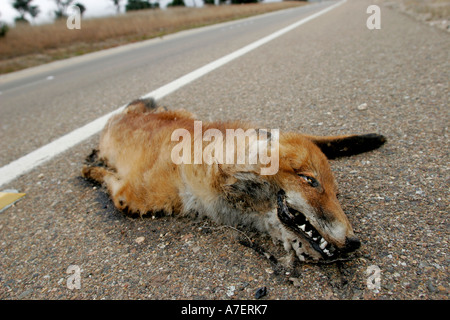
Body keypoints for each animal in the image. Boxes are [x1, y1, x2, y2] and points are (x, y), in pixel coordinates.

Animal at [83, 99, 386, 264]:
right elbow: (112, 188)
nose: (355, 242)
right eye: (309, 180)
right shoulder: (128, 196)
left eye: (336, 194)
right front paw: (92, 171)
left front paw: (368, 138)